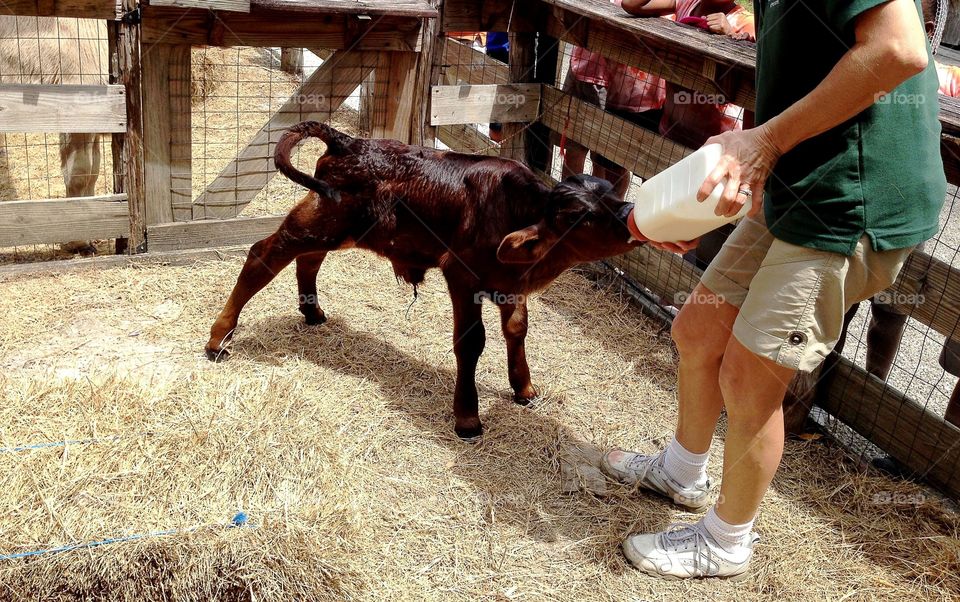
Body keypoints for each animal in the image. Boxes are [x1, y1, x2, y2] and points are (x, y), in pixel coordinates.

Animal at [206, 121, 645, 439]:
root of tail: (349, 142)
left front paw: (524, 388)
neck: (513, 209)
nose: (629, 214)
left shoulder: (510, 284)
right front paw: (467, 417)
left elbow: (517, 329)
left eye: (610, 193)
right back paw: (219, 337)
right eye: (580, 216)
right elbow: (471, 342)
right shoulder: (462, 276)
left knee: (307, 261)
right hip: (320, 220)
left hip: (334, 226)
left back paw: (312, 313)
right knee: (264, 255)